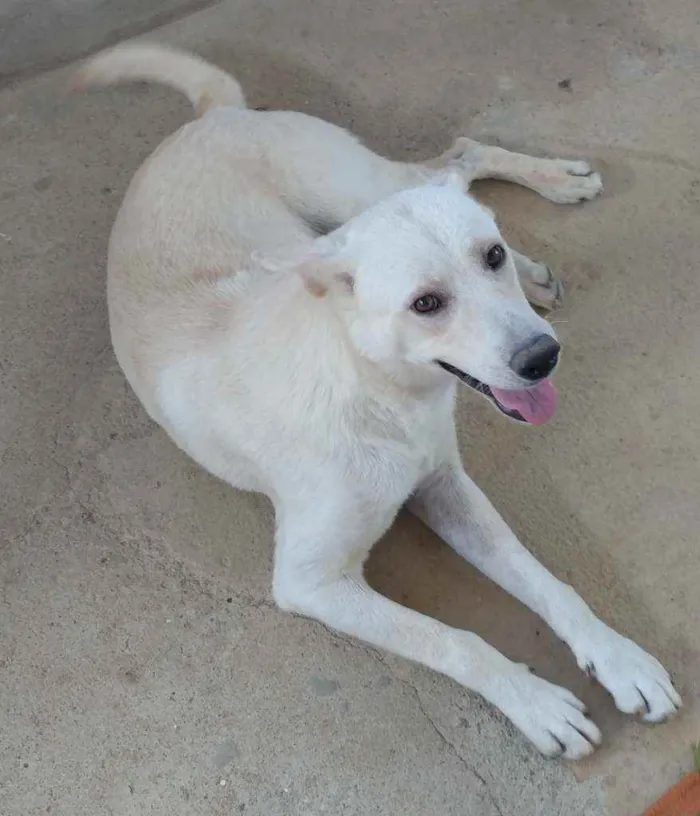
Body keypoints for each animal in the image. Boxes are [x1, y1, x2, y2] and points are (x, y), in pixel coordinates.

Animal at [75, 43, 680, 760]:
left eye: (490, 256)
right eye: (426, 304)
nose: (542, 357)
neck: (376, 390)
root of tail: (208, 117)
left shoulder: (447, 486)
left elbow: (545, 582)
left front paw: (618, 657)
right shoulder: (312, 582)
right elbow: (454, 640)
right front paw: (534, 701)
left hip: (353, 187)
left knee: (455, 158)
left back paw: (553, 194)